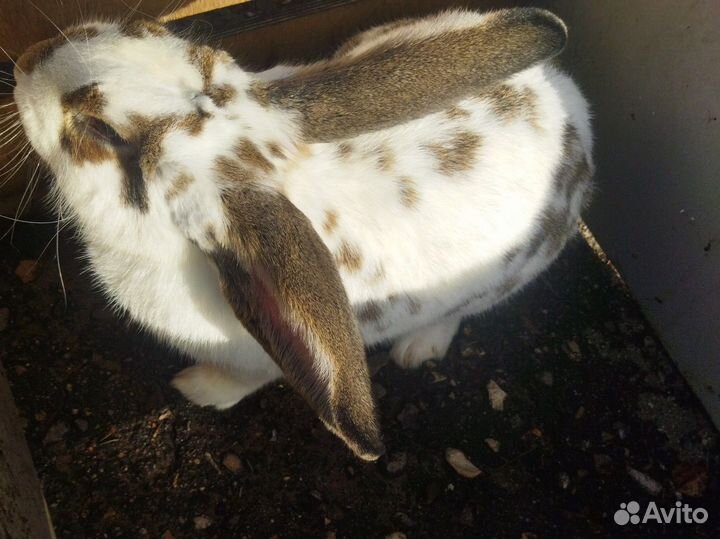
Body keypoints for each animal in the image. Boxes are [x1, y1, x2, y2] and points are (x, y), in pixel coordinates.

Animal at [11, 8, 593, 460]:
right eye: (148, 27)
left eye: (103, 132)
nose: (25, 60)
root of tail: (574, 111)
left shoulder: (253, 359)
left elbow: (236, 382)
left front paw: (195, 389)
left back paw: (418, 348)